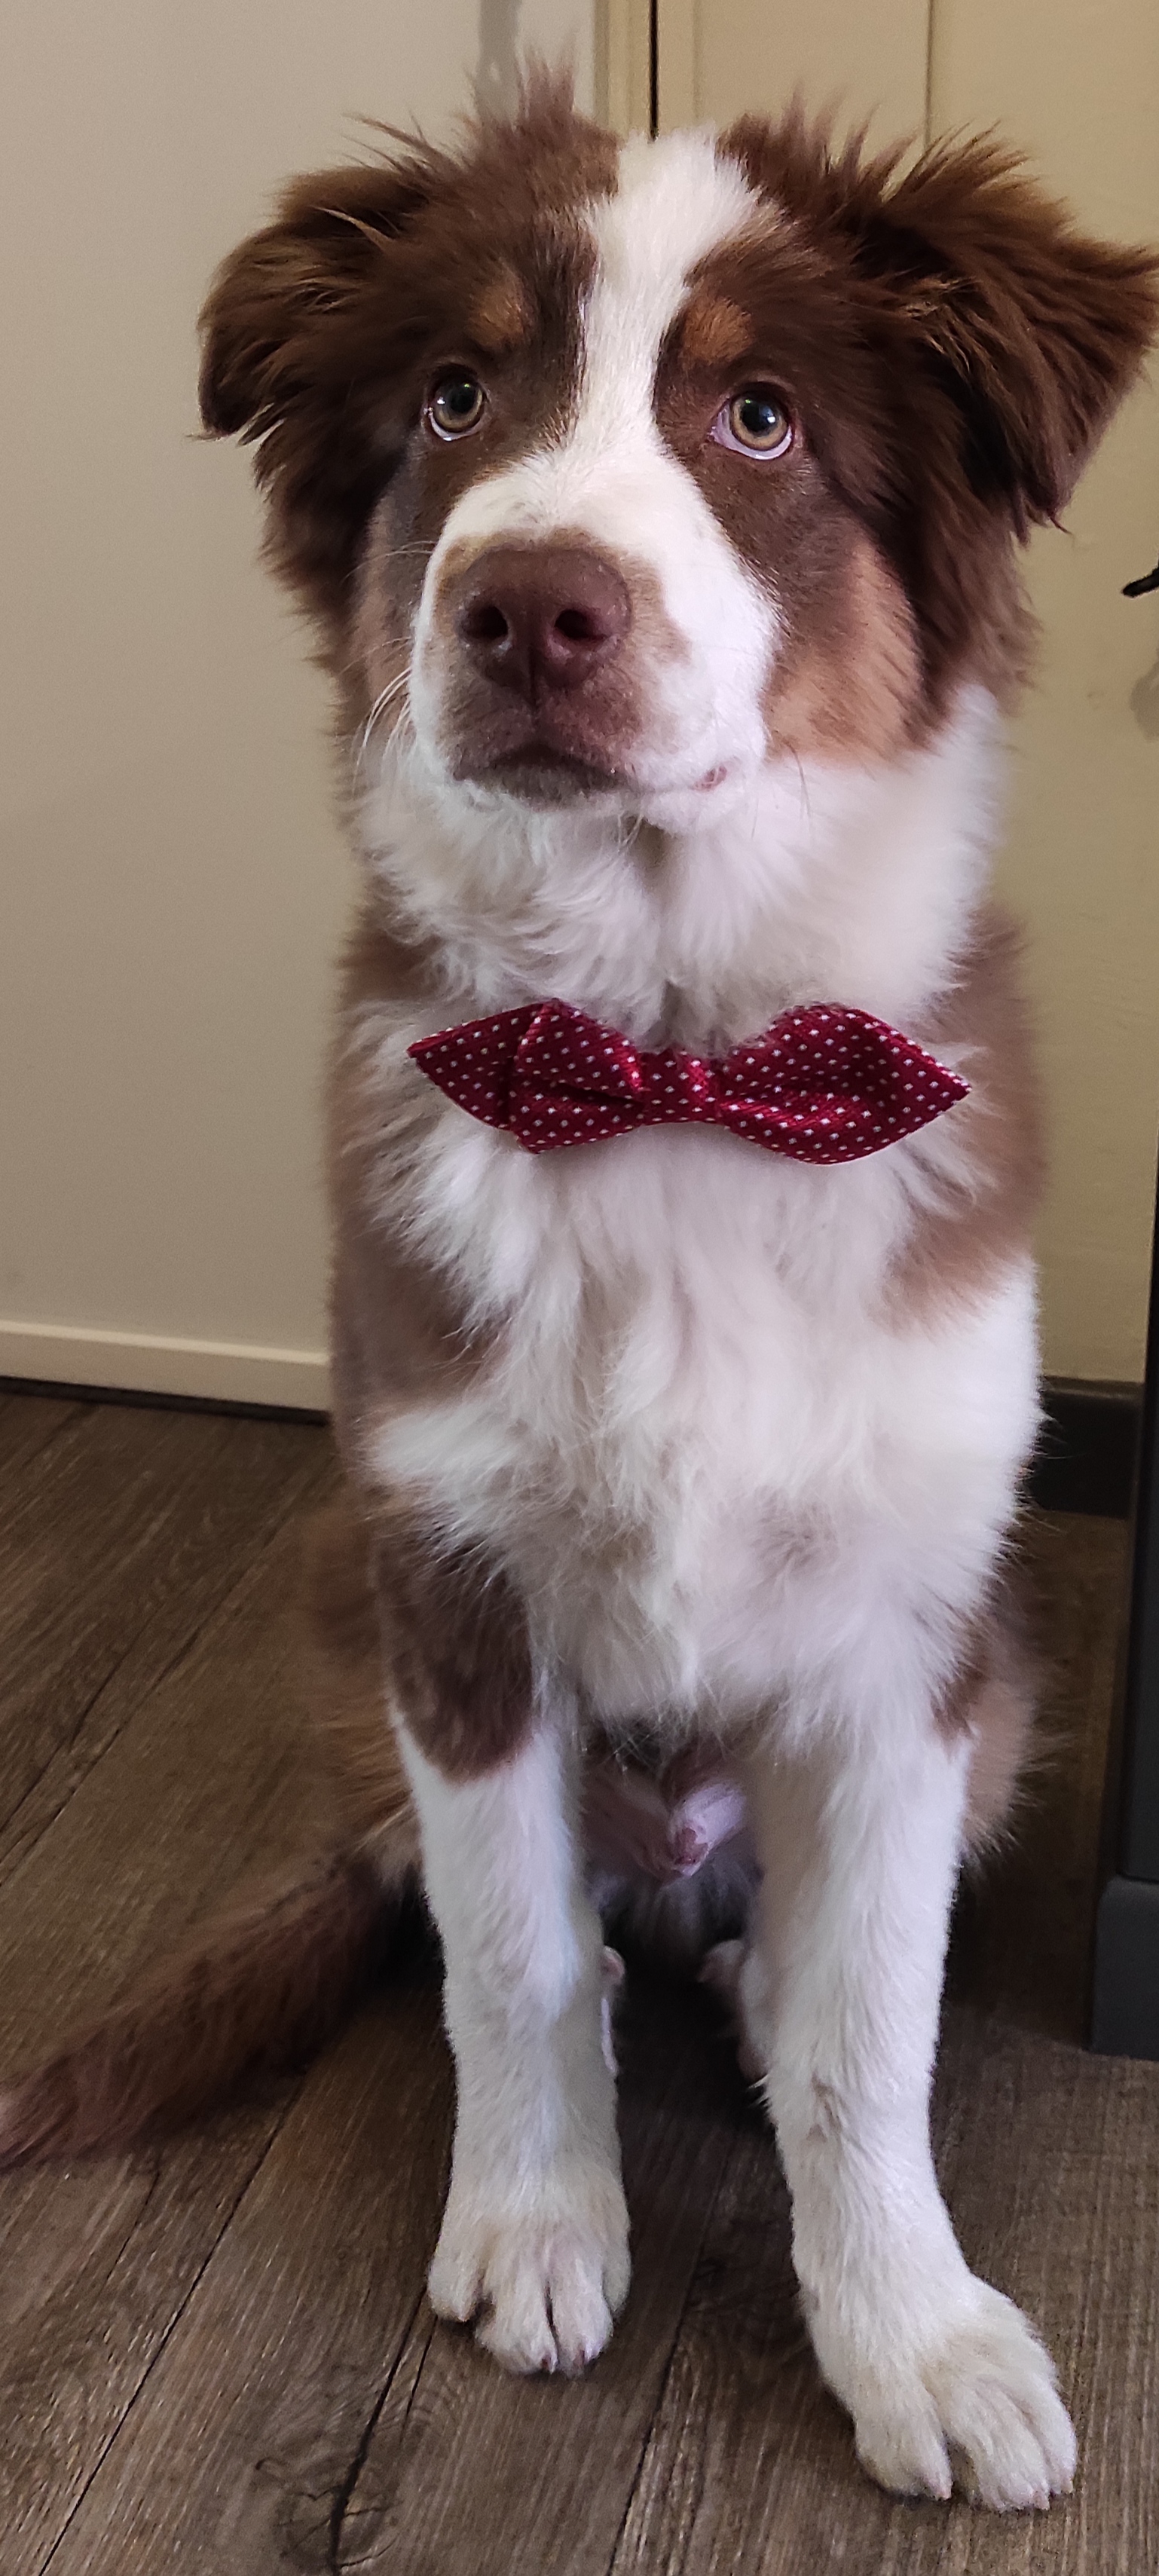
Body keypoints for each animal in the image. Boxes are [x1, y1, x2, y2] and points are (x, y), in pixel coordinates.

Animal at [4, 69, 1155, 2513]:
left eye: (755, 415)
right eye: (454, 400)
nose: (526, 605)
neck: (665, 1070)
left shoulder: (907, 1637)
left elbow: (870, 2027)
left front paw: (908, 2332)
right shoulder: (446, 1584)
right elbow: (509, 1958)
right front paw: (536, 2223)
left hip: (1002, 1676)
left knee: (784, 1953)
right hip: (339, 1610)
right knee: (531, 1918)